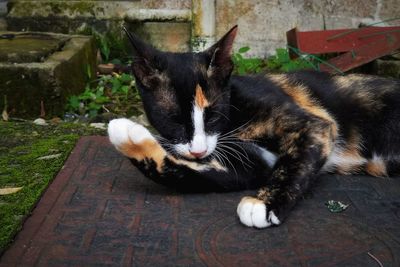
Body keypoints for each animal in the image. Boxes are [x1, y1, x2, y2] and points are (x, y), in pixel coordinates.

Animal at [107, 25, 400, 228]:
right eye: (174, 120)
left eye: (213, 116)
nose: (198, 151)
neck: (234, 113)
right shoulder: (251, 164)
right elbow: (191, 173)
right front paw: (130, 138)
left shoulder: (316, 124)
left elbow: (294, 163)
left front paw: (264, 204)